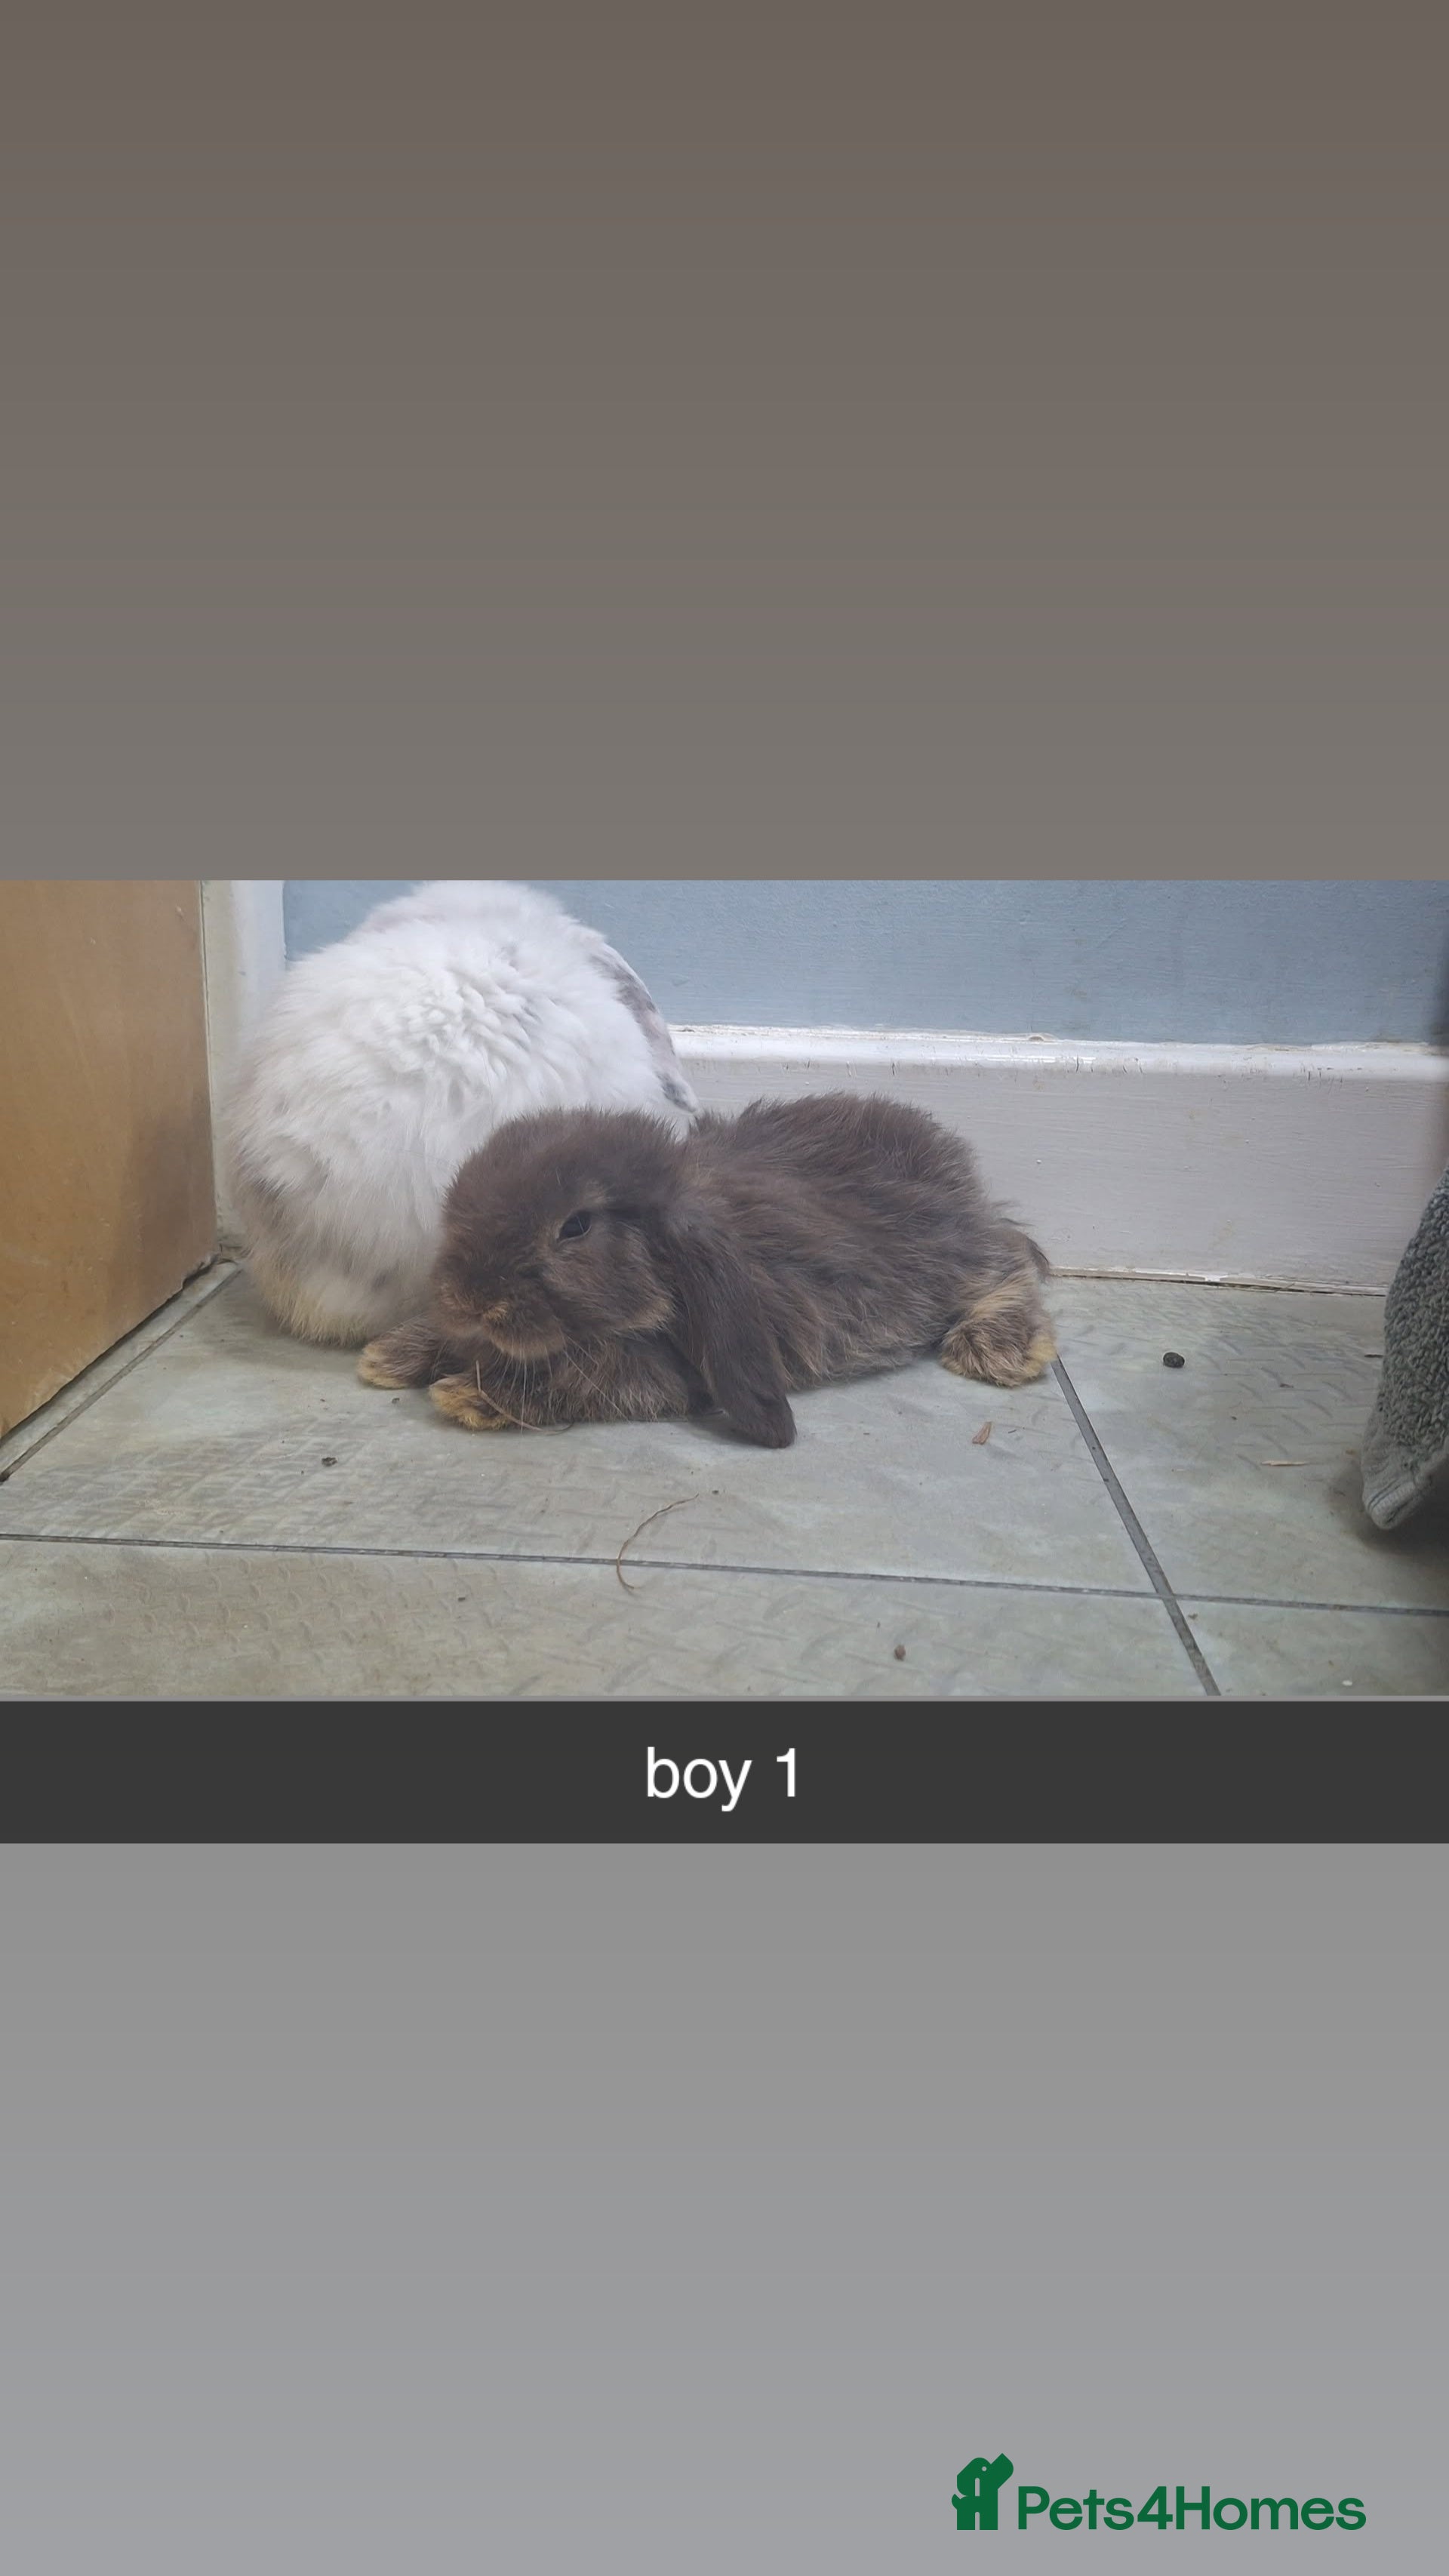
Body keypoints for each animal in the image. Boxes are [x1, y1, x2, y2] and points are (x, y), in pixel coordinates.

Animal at [357, 1090, 1056, 1448]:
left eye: (575, 1226)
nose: (468, 1298)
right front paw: (390, 1355)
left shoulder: (665, 1373)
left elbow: (589, 1376)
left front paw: (473, 1394)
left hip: (947, 1254)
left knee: (1009, 1259)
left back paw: (1000, 1348)